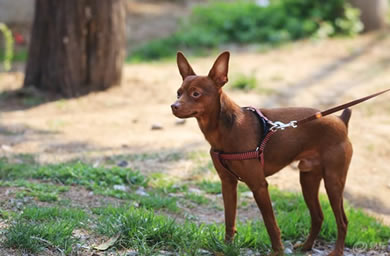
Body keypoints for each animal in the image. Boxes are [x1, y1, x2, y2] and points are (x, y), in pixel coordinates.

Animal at [171, 51, 354, 255]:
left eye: (196, 94)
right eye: (178, 92)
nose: (174, 106)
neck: (224, 129)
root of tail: (340, 121)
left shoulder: (259, 186)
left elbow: (270, 224)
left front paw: (277, 251)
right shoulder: (228, 183)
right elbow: (229, 219)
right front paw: (227, 247)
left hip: (333, 181)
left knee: (342, 221)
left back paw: (336, 251)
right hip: (308, 179)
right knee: (318, 216)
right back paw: (306, 247)